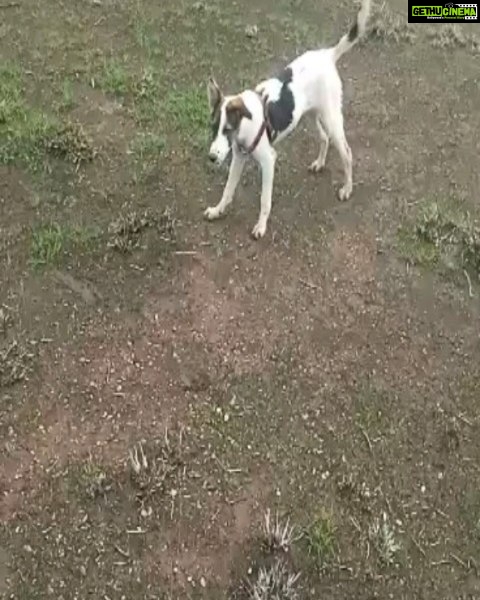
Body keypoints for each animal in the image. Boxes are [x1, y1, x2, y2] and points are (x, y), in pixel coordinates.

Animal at [204, 0, 374, 239]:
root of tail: (328, 55)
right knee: (324, 138)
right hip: (310, 115)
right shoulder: (238, 157)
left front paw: (261, 226)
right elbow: (228, 190)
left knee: (347, 153)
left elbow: (265, 200)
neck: (246, 125)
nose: (211, 157)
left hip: (332, 119)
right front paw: (218, 210)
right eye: (213, 128)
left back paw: (347, 189)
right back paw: (320, 163)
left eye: (228, 129)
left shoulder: (268, 160)